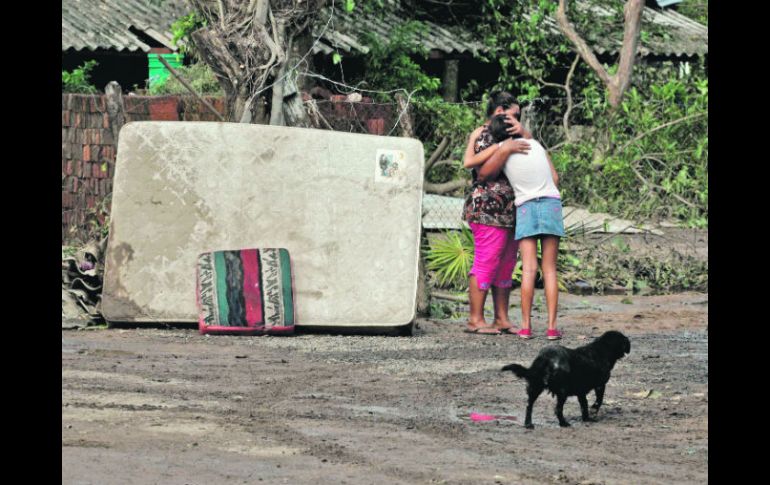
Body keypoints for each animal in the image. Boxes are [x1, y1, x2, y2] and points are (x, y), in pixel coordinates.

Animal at [498, 328, 632, 428]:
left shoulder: (581, 392)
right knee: (558, 409)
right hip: (562, 392)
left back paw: (528, 424)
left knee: (529, 406)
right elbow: (598, 401)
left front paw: (586, 418)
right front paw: (593, 412)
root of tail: (546, 357)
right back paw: (564, 423)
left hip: (535, 387)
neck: (602, 350)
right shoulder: (600, 385)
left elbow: (584, 405)